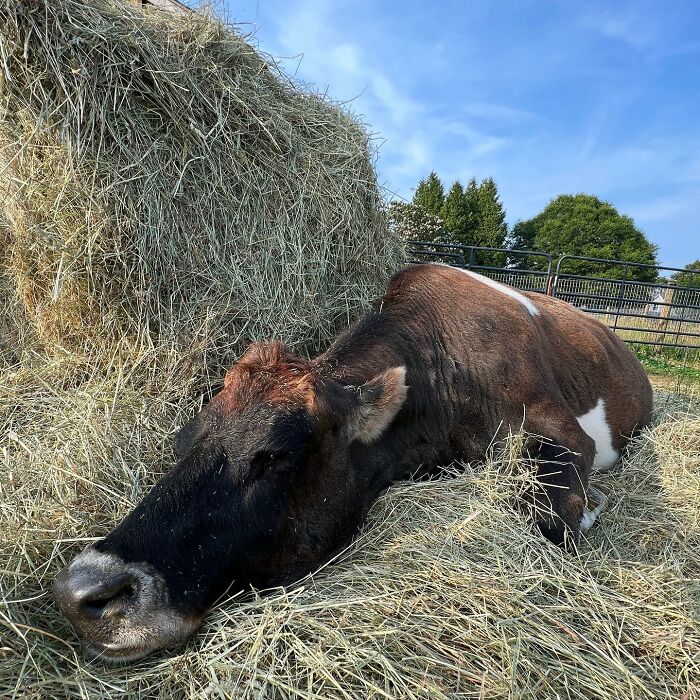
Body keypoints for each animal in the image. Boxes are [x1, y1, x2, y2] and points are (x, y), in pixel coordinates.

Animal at [53, 263, 652, 662]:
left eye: (277, 456)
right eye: (184, 441)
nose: (81, 593)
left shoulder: (567, 435)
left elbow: (552, 521)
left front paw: (591, 507)